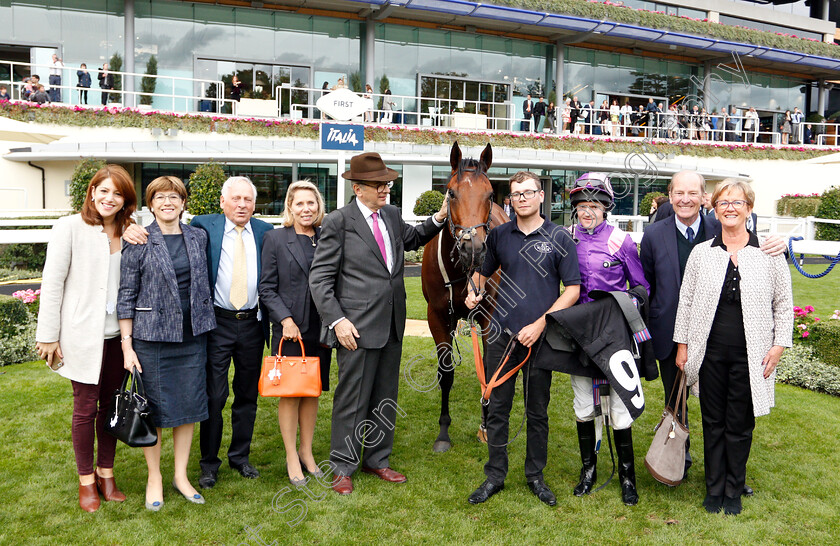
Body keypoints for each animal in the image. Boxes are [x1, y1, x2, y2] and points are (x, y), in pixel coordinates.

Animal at [424, 141, 508, 450]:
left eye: (490, 194)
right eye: (450, 192)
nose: (473, 249)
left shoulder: (488, 317)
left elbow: (490, 368)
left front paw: (486, 425)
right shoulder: (437, 316)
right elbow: (445, 372)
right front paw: (443, 432)